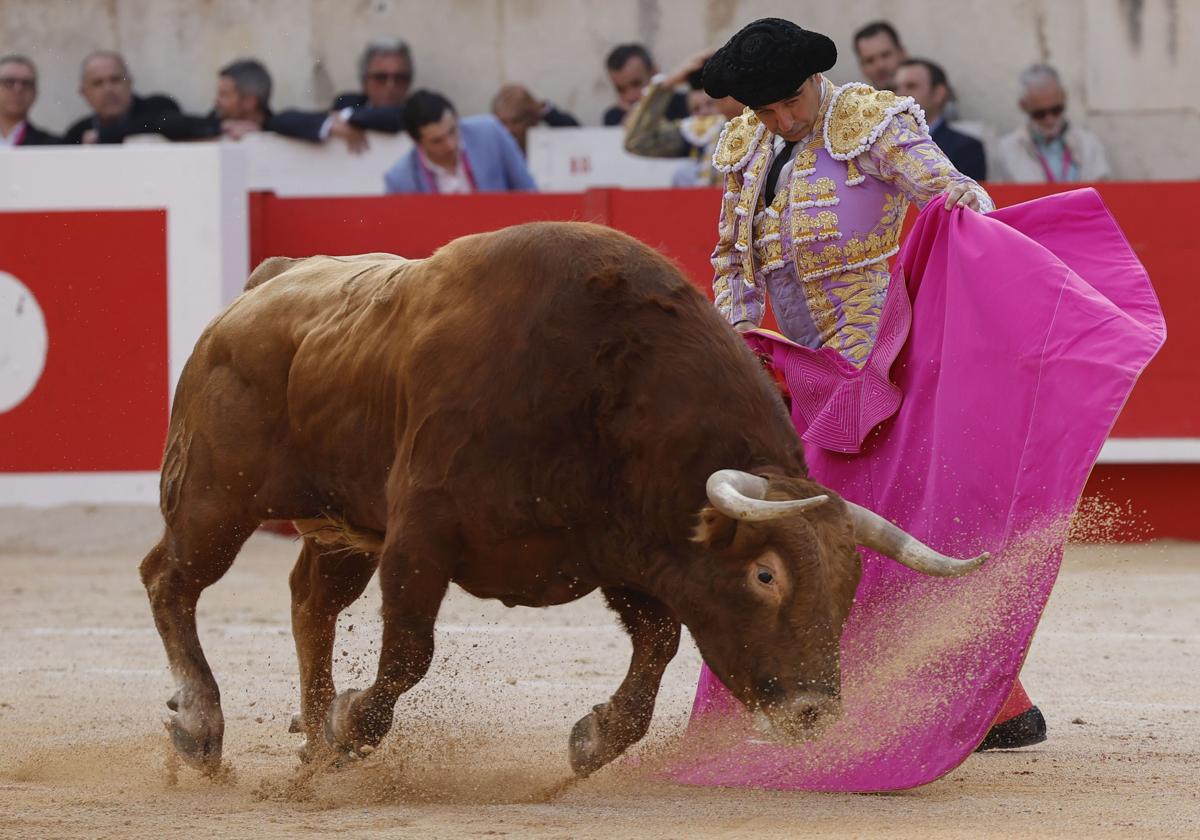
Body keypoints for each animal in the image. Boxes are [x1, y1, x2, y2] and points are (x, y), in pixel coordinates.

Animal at [140, 222, 984, 772]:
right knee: (169, 578)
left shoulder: (624, 548)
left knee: (309, 603)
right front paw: (355, 728)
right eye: (765, 574)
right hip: (217, 495)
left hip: (339, 525)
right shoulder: (421, 534)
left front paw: (594, 738)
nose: (814, 711)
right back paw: (206, 727)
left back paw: (312, 740)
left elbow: (659, 643)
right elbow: (410, 651)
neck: (598, 386)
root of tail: (265, 285)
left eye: (850, 584)